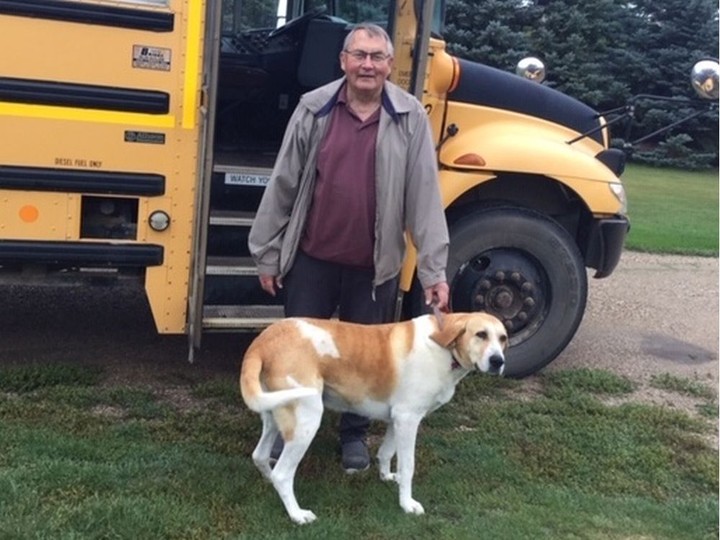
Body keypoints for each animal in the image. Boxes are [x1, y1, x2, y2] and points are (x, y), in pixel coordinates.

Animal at [239, 310, 510, 524]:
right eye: (481, 334)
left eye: (503, 338)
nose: (498, 361)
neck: (445, 348)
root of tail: (263, 339)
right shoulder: (408, 419)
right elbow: (408, 465)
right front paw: (407, 504)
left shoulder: (397, 419)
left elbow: (386, 452)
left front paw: (387, 476)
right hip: (306, 420)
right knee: (283, 474)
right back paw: (297, 515)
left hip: (274, 416)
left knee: (260, 456)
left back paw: (269, 482)